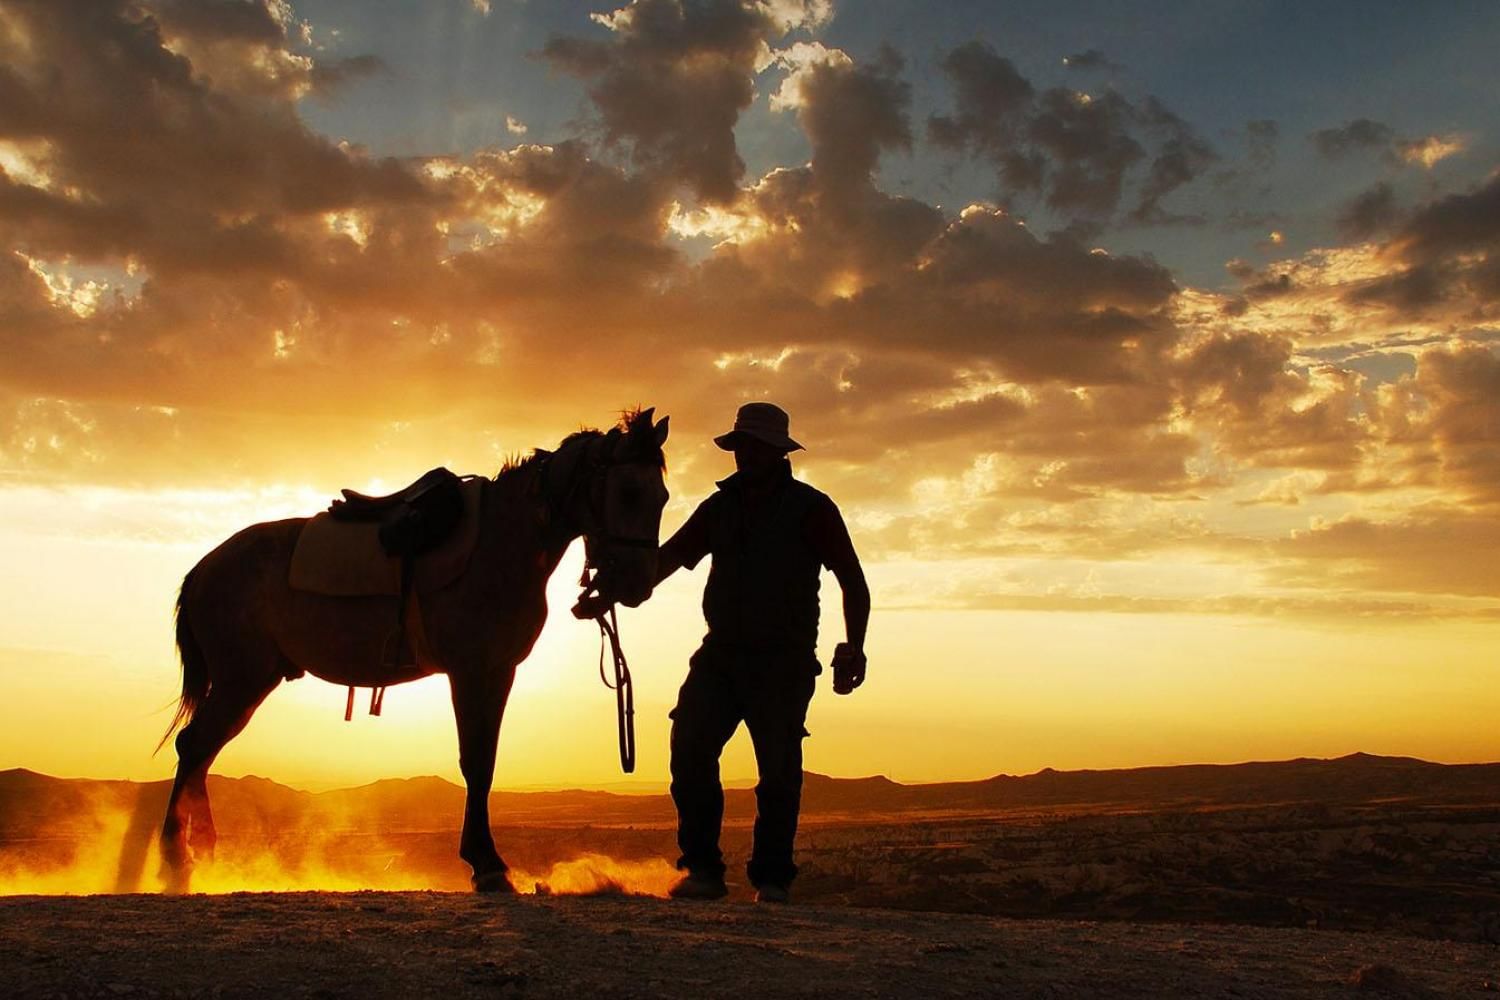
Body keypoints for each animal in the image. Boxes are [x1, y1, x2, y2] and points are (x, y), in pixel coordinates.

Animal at [158, 408, 670, 892]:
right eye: (628, 492)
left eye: (663, 496)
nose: (637, 583)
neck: (503, 543)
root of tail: (204, 568)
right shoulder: (470, 671)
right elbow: (475, 760)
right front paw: (486, 864)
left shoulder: (499, 671)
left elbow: (486, 759)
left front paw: (486, 861)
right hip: (240, 680)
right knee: (195, 746)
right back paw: (174, 859)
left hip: (249, 681)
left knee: (202, 751)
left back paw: (201, 851)